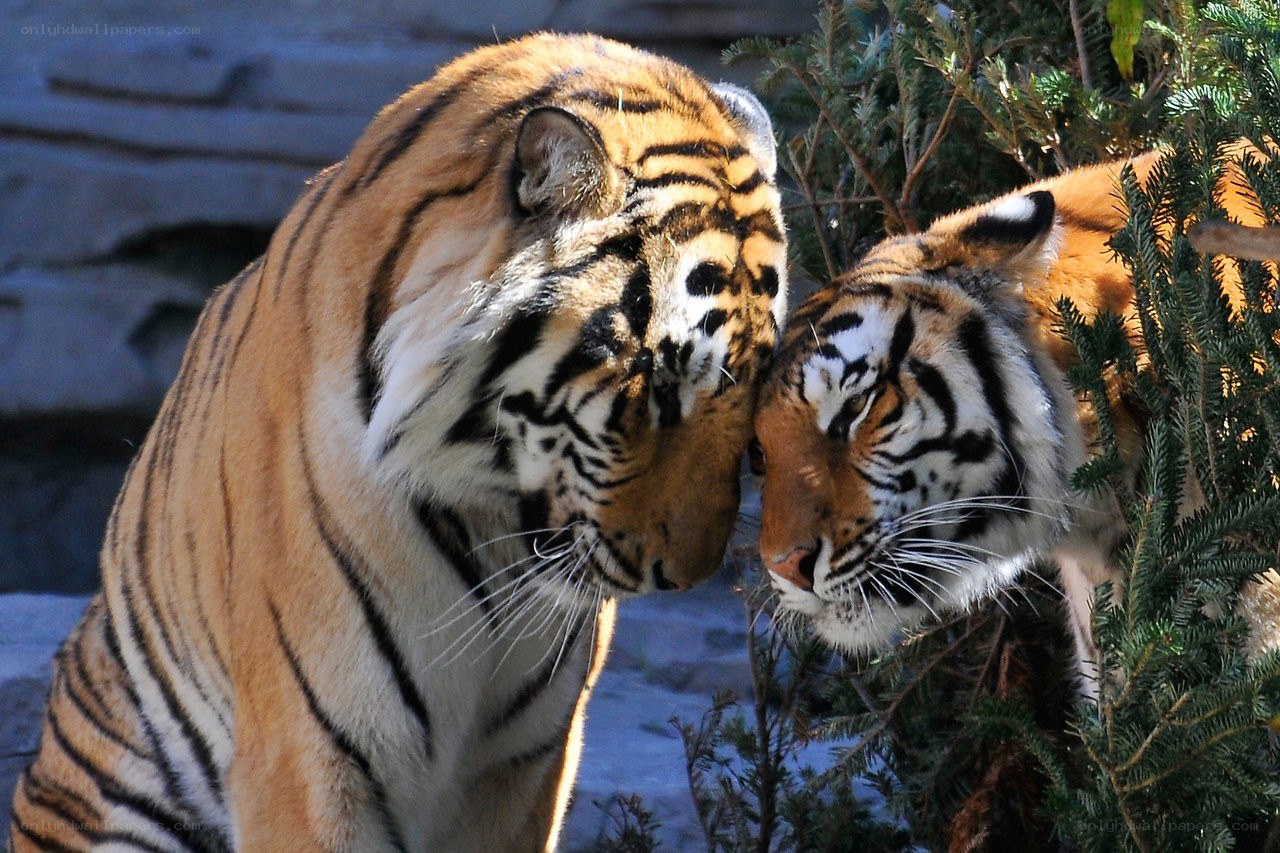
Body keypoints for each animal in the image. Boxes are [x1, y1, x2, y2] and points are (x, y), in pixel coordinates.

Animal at [7, 33, 787, 852]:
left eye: (758, 387)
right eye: (657, 380)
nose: (686, 577)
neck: (490, 528)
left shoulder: (525, 761)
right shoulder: (307, 753)